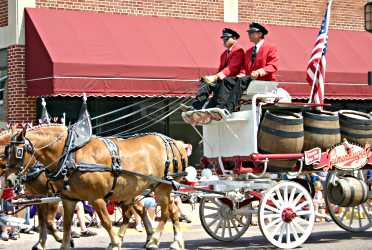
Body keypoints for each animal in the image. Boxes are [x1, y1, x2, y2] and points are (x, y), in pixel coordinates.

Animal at [7, 124, 189, 250]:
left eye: (18, 151)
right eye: (6, 151)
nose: (9, 180)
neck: (70, 155)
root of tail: (175, 142)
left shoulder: (95, 198)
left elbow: (106, 222)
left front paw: (115, 244)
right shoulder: (67, 199)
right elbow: (65, 224)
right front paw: (64, 243)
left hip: (162, 188)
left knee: (165, 213)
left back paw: (154, 240)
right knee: (168, 211)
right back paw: (175, 242)